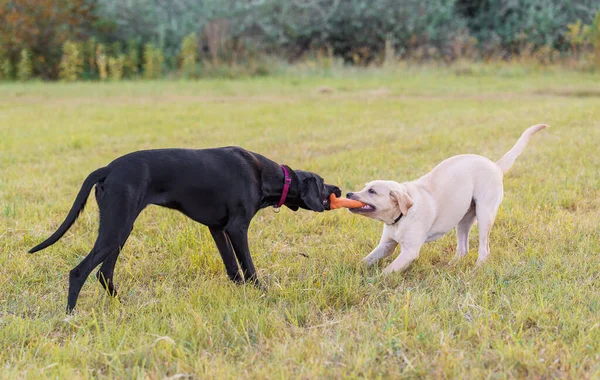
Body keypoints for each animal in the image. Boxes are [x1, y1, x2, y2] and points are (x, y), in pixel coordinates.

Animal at [30, 146, 340, 312]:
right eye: (323, 182)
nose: (338, 190)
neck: (266, 175)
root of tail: (108, 168)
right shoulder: (237, 228)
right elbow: (248, 268)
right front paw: (262, 293)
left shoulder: (217, 229)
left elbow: (232, 268)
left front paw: (239, 294)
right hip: (117, 227)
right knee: (79, 271)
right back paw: (71, 315)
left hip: (119, 230)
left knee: (104, 274)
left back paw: (123, 305)